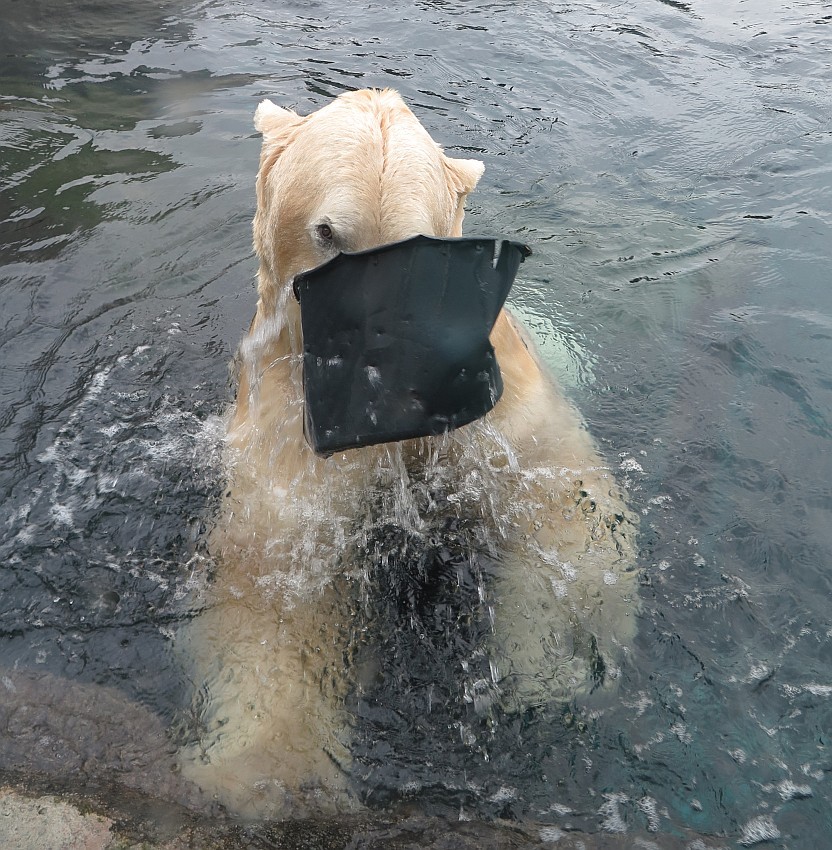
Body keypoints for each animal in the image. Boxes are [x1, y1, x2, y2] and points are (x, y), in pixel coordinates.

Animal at [179, 86, 640, 816]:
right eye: (327, 234)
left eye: (414, 248)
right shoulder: (291, 422)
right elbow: (284, 576)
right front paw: (268, 772)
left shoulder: (497, 399)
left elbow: (559, 499)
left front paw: (546, 664)